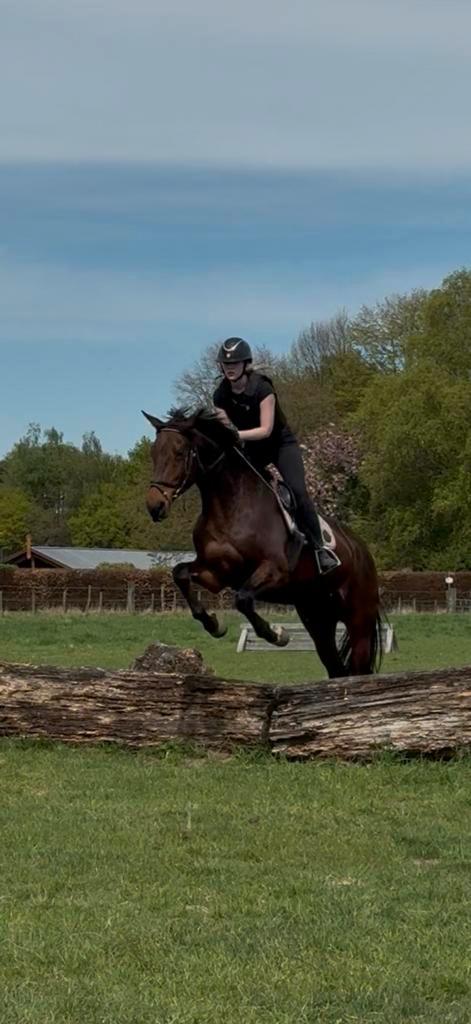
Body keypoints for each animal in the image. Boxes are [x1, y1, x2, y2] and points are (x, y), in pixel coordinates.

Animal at [143, 407, 382, 678]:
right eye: (154, 453)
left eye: (179, 452)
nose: (154, 506)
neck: (230, 506)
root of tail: (362, 550)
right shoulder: (216, 573)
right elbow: (180, 573)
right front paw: (213, 624)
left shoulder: (275, 571)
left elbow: (243, 599)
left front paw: (277, 635)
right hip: (318, 617)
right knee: (336, 667)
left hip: (359, 619)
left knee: (358, 667)